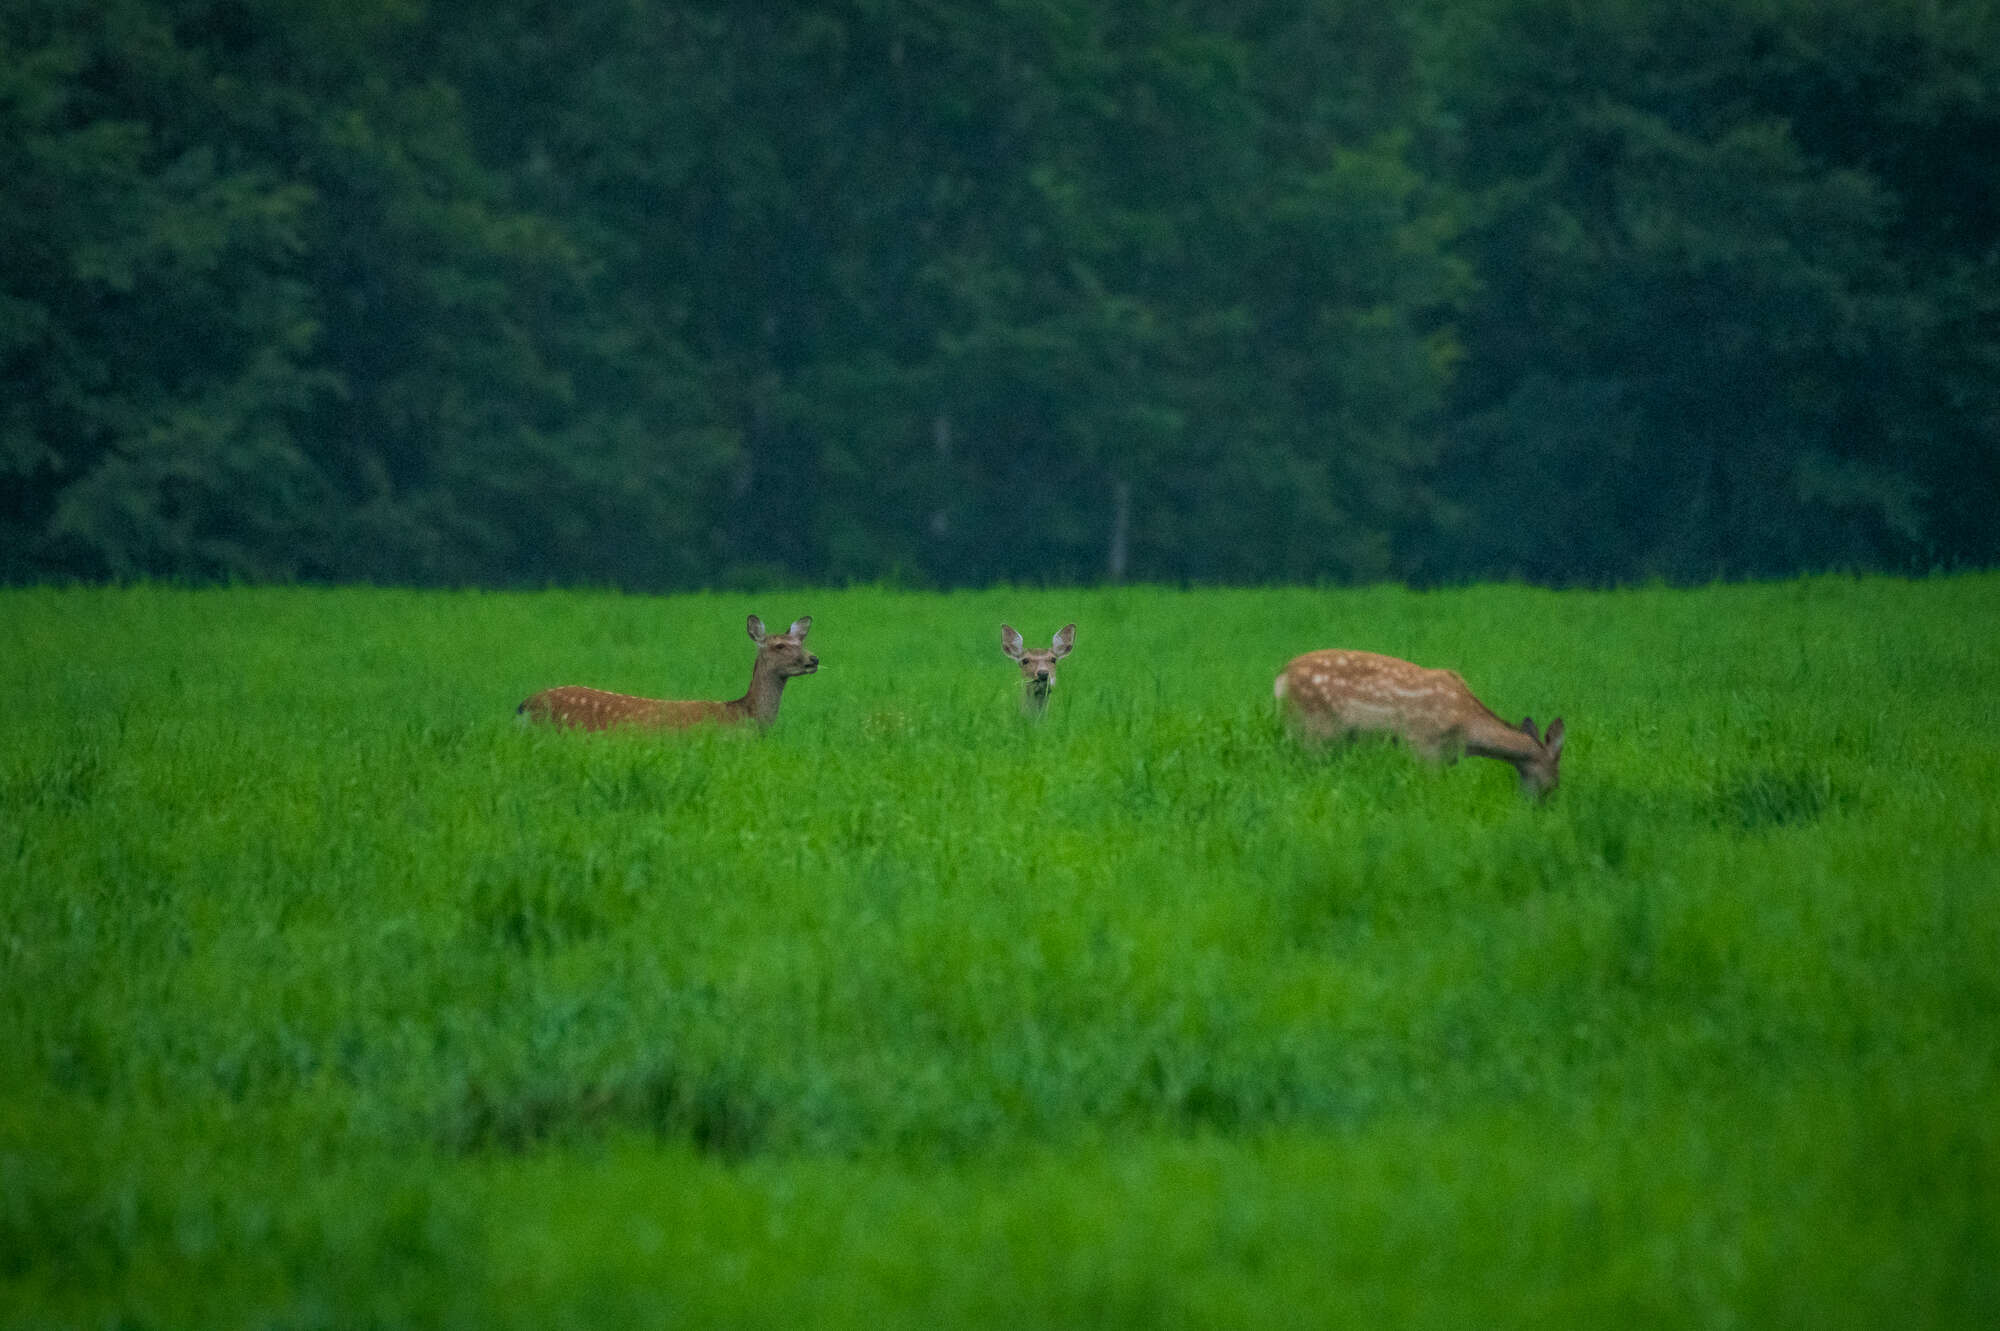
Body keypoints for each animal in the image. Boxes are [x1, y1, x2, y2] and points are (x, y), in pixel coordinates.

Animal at [1272, 643, 1568, 791]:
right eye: (1554, 783)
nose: (1544, 806)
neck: (1468, 733)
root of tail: (1281, 679)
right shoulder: (1423, 745)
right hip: (1314, 728)